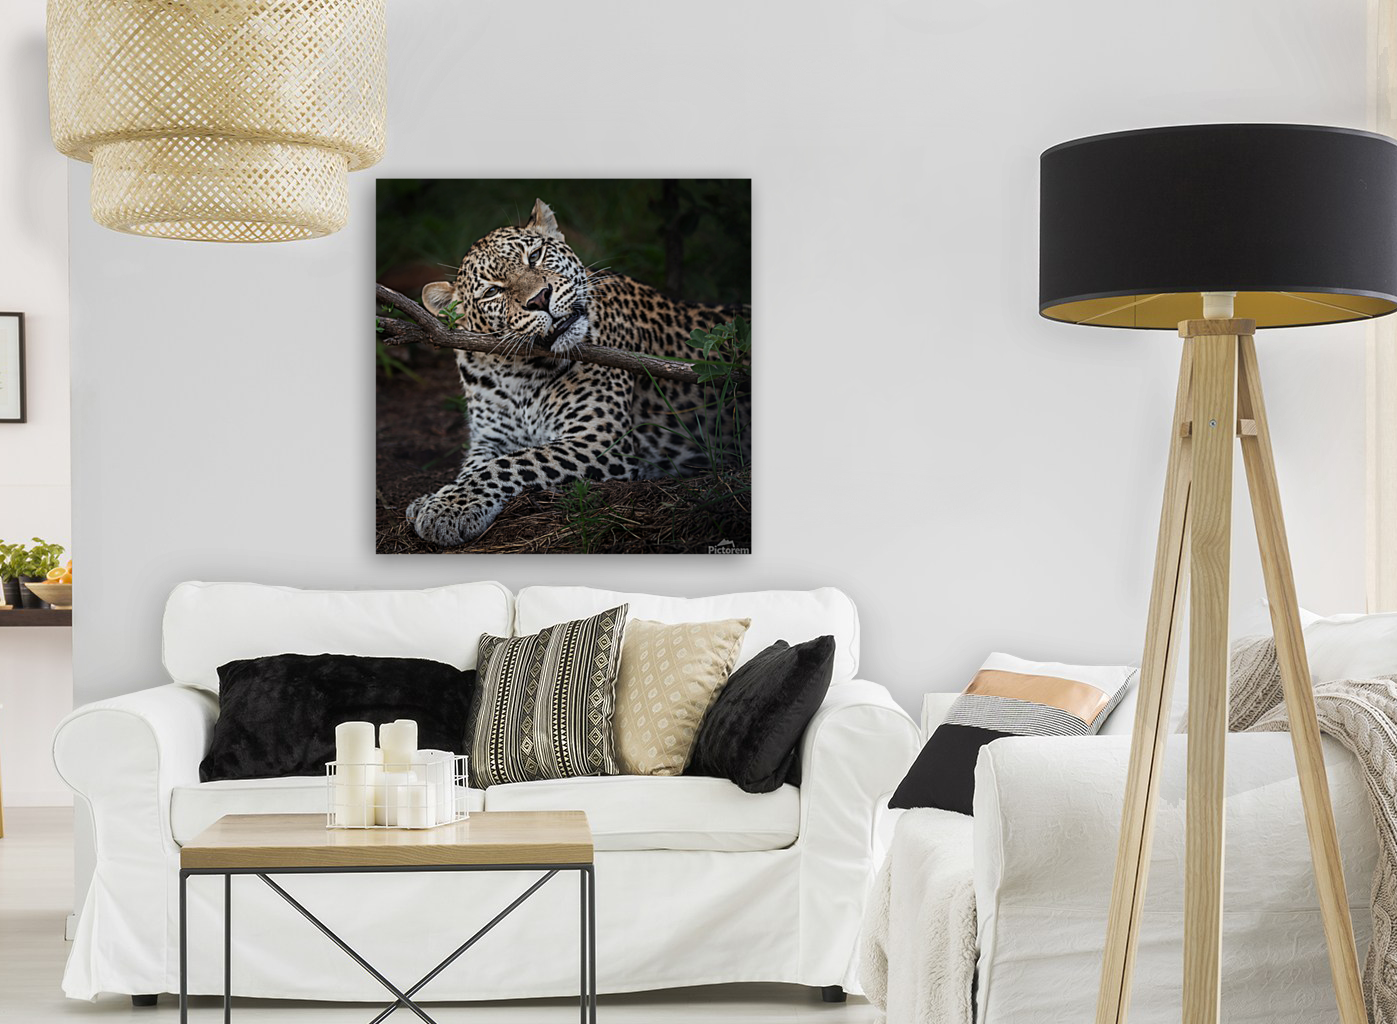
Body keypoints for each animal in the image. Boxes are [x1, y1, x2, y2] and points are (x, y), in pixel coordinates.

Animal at [406, 198, 751, 548]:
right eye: (492, 292)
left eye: (535, 256)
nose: (540, 298)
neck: (518, 372)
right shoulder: (490, 437)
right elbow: (476, 465)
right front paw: (437, 498)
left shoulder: (598, 438)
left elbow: (510, 463)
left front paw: (448, 506)